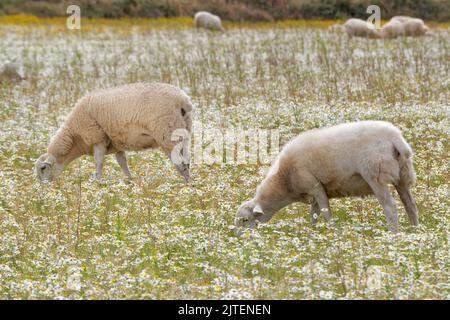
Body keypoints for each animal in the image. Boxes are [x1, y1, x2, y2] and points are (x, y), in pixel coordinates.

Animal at [33, 82, 192, 182]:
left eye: (43, 168)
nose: (44, 187)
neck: (74, 137)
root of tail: (183, 100)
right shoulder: (117, 145)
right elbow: (122, 163)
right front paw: (130, 181)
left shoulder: (97, 139)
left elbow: (98, 162)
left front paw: (97, 181)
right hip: (184, 132)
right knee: (187, 160)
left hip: (167, 133)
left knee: (181, 163)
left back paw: (187, 183)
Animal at [236, 120, 418, 232]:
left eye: (245, 220)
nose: (239, 241)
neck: (284, 181)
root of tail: (395, 137)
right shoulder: (313, 194)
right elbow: (314, 216)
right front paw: (313, 234)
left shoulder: (315, 186)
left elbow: (325, 214)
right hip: (402, 175)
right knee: (410, 205)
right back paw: (415, 231)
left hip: (375, 175)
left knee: (390, 207)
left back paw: (393, 233)